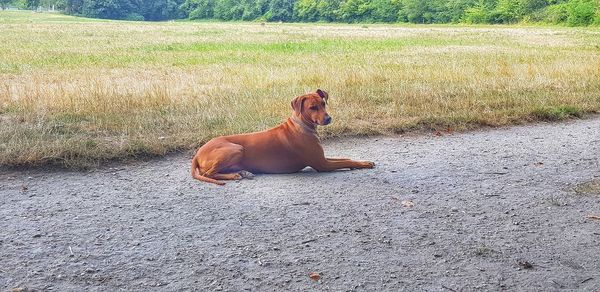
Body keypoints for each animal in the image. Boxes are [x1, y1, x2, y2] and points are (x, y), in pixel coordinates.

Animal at [191, 89, 376, 185]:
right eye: (312, 107)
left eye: (323, 103)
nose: (328, 118)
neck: (302, 126)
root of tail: (197, 153)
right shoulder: (322, 164)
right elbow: (345, 161)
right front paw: (363, 164)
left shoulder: (322, 158)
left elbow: (346, 158)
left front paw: (363, 161)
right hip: (236, 148)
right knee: (208, 173)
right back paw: (234, 176)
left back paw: (241, 172)